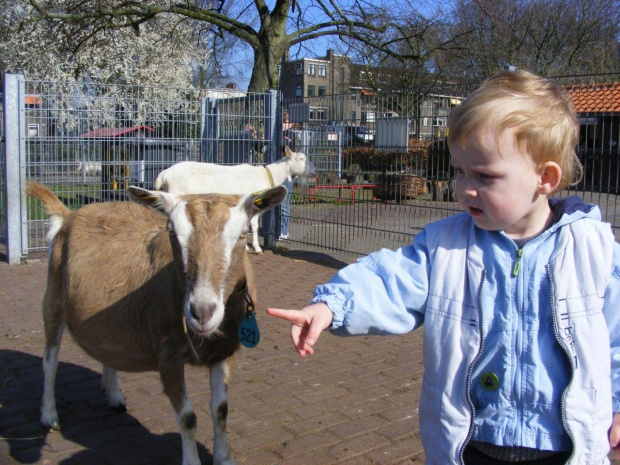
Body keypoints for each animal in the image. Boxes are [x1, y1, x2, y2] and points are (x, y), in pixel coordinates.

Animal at [27, 179, 286, 464]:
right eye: (171, 232)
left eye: (243, 233)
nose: (202, 312)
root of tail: (67, 215)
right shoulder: (168, 354)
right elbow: (187, 418)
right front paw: (192, 460)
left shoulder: (225, 352)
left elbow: (221, 411)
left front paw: (224, 458)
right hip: (53, 299)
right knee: (49, 361)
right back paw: (49, 417)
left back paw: (114, 396)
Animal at [153, 147, 318, 252]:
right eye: (301, 158)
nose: (316, 172)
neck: (268, 175)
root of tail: (164, 175)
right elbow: (254, 226)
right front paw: (256, 248)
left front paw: (246, 246)